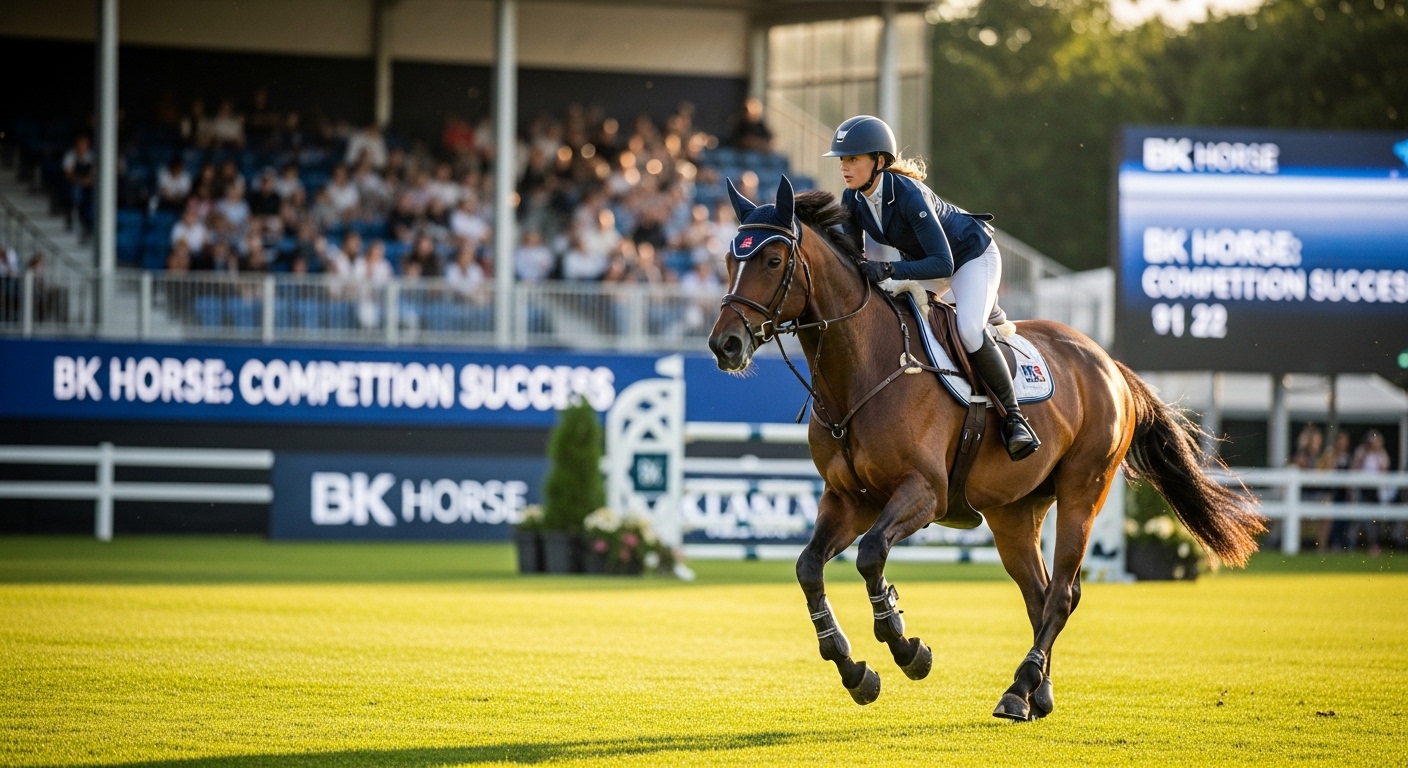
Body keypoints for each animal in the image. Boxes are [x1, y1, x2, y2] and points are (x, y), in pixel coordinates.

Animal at [707, 177, 1265, 720]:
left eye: (772, 260)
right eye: (731, 261)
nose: (724, 345)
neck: (863, 368)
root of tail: (1109, 363)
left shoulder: (923, 493)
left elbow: (871, 555)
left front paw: (907, 648)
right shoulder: (849, 499)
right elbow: (808, 568)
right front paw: (854, 670)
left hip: (1085, 489)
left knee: (1062, 592)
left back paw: (1019, 691)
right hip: (1014, 511)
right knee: (1038, 592)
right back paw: (1036, 693)